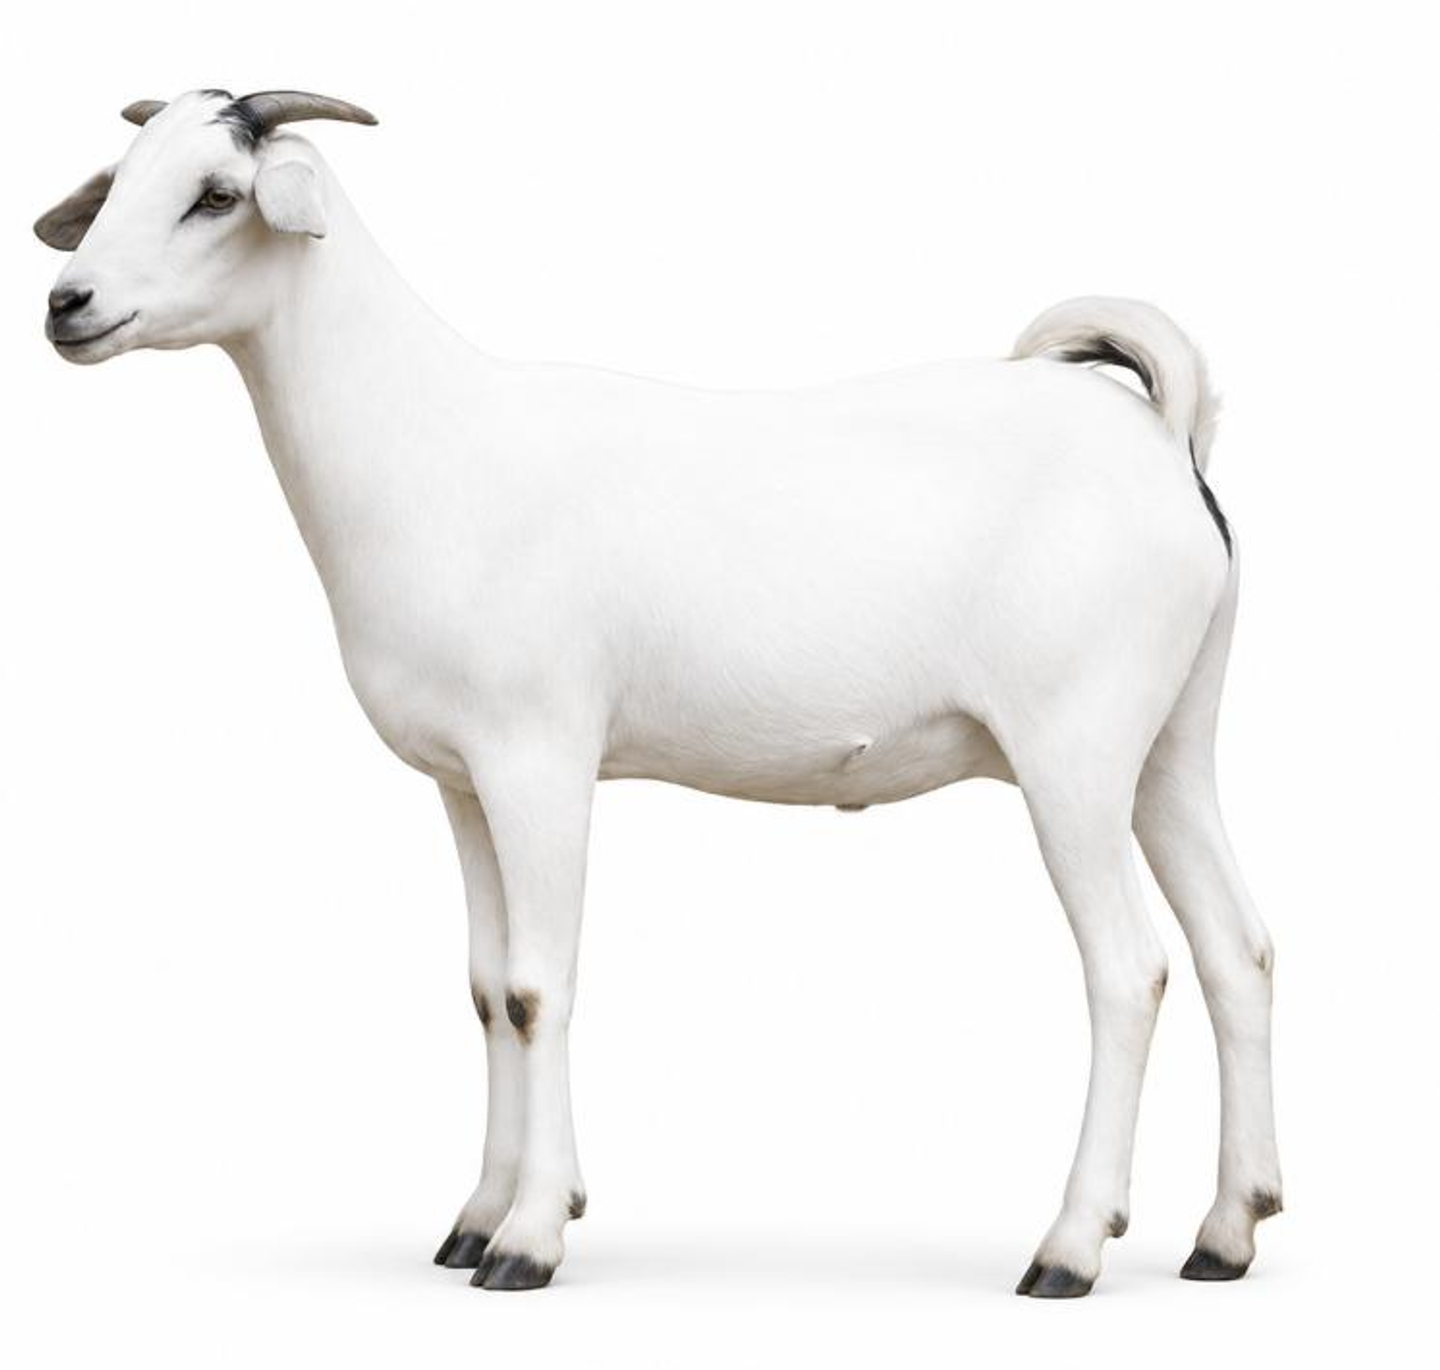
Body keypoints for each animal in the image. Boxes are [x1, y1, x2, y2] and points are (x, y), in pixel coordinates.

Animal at [35, 88, 1281, 1295]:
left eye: (215, 193)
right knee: (1238, 947)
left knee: (1129, 970)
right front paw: (476, 1217)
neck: (428, 442)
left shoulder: (539, 755)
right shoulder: (463, 779)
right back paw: (1228, 1230)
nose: (66, 302)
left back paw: (1070, 1247)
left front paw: (530, 1238)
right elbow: (485, 987)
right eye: (123, 178)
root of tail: (1168, 437)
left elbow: (537, 986)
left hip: (1075, 747)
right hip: (1170, 744)